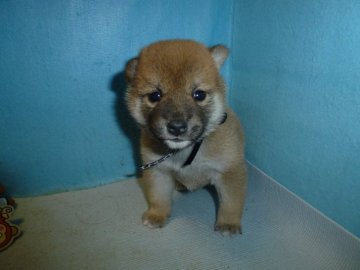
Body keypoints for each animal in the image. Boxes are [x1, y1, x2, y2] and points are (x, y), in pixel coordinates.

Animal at [125, 39, 246, 235]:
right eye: (155, 95)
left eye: (199, 94)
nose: (177, 127)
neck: (185, 151)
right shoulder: (158, 171)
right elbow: (158, 197)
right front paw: (157, 215)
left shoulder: (229, 172)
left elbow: (231, 202)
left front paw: (229, 223)